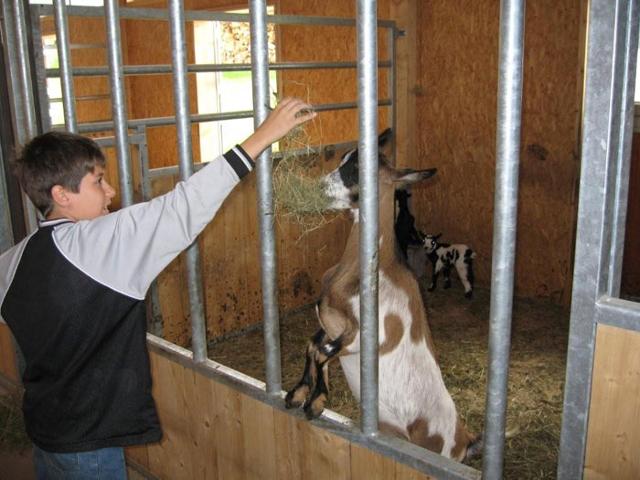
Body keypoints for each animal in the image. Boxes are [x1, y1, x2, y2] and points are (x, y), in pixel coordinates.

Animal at [285, 129, 481, 461]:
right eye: (344, 159)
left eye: (358, 169)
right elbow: (312, 345)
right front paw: (298, 394)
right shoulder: (330, 324)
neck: (373, 271)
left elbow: (322, 351)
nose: (319, 188)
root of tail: (464, 440)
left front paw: (316, 402)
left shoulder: (369, 336)